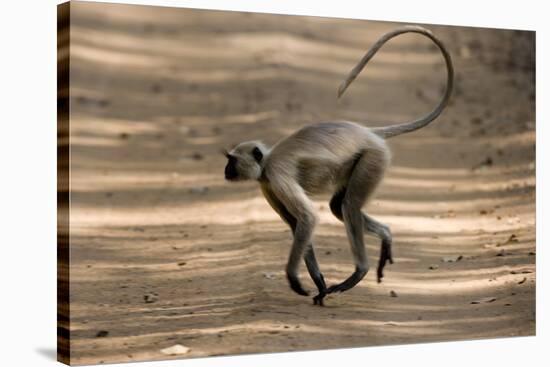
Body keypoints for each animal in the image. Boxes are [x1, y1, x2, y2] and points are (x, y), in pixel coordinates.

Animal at [223, 25, 452, 306]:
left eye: (232, 160)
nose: (226, 170)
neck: (266, 162)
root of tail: (367, 132)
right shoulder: (267, 184)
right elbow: (296, 224)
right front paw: (319, 284)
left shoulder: (276, 175)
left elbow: (307, 218)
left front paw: (294, 278)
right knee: (337, 206)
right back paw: (385, 235)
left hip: (373, 158)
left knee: (349, 205)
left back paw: (359, 271)